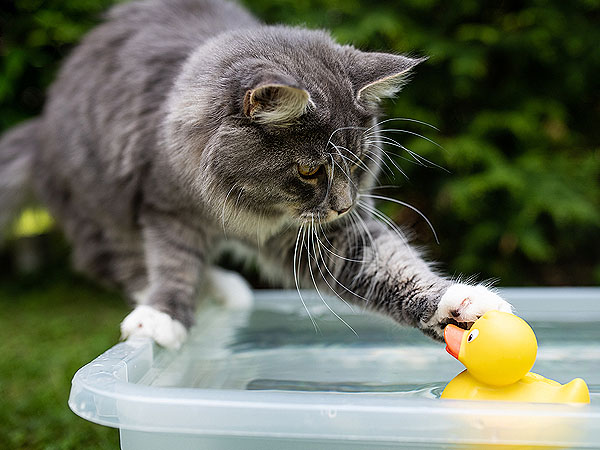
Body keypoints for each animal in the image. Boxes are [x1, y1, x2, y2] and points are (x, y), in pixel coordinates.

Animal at [0, 0, 510, 348]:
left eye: (357, 161)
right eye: (310, 170)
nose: (344, 204)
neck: (248, 209)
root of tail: (41, 127)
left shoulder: (328, 238)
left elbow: (394, 266)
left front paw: (461, 306)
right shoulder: (166, 207)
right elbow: (174, 261)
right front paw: (164, 315)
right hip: (101, 209)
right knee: (117, 263)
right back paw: (198, 295)